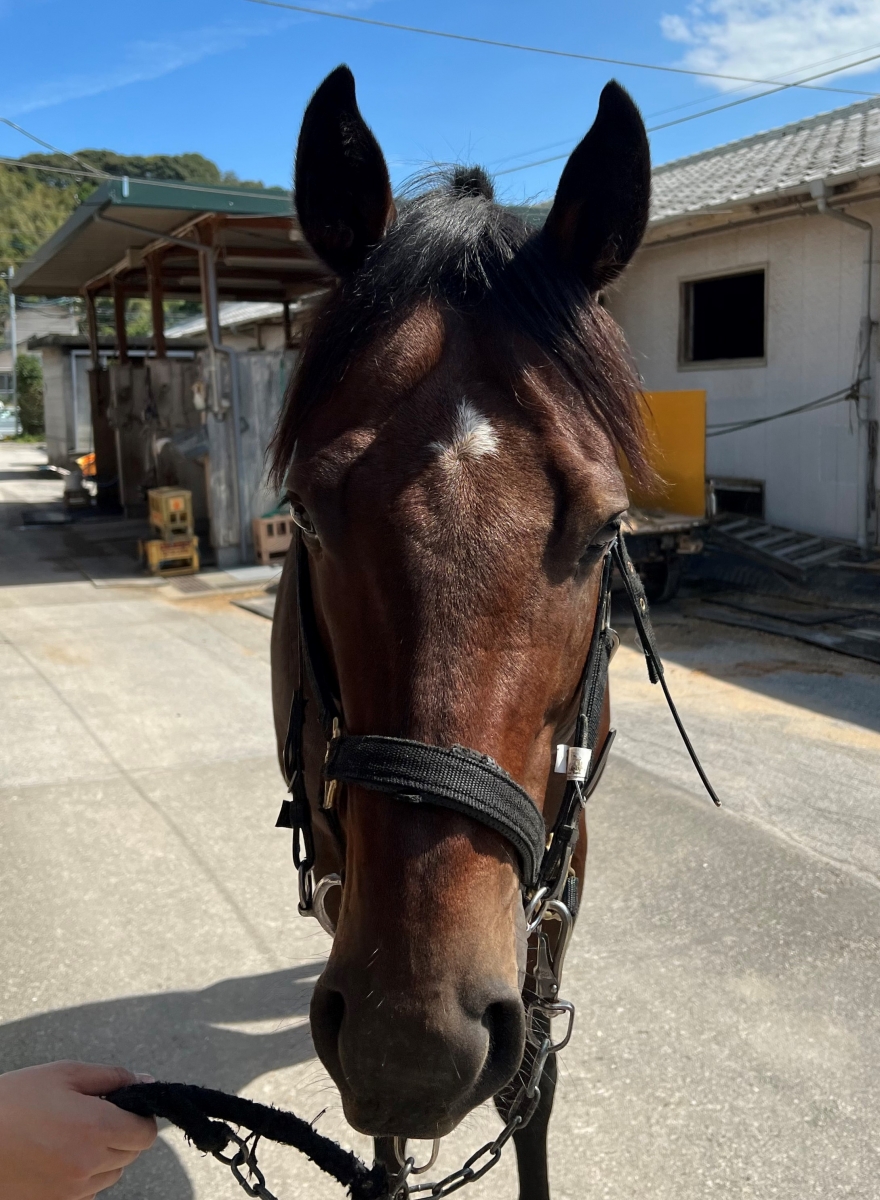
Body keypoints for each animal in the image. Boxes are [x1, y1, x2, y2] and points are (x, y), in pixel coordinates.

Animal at [269, 64, 652, 1200]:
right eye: (306, 514)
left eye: (606, 528)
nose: (415, 1044)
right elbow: (389, 1147)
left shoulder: (562, 880)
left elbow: (531, 1087)